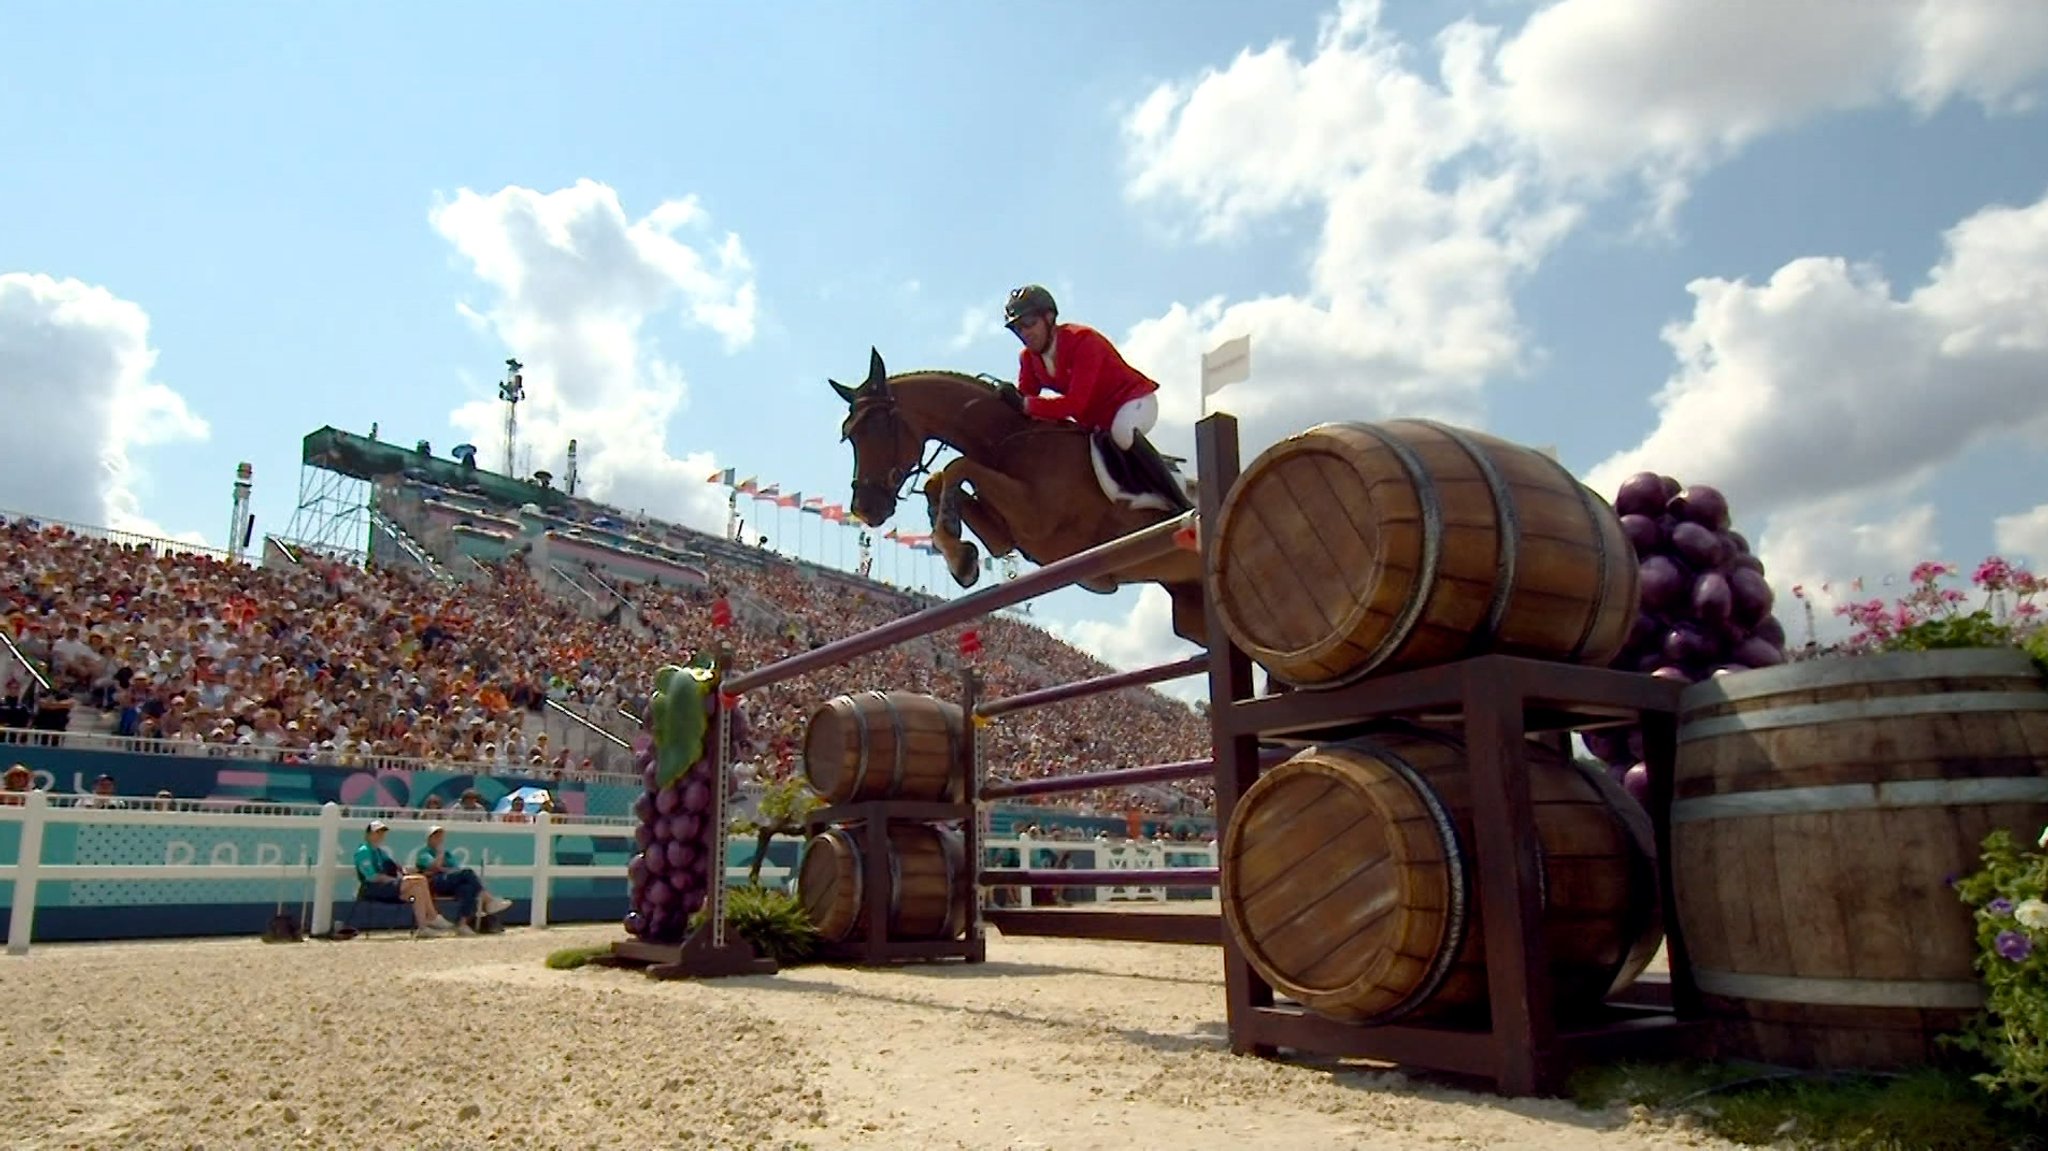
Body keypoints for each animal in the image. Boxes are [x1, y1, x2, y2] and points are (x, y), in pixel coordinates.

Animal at [827, 344, 1212, 647]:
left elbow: (957, 465)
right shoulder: (1009, 534)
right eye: (848, 435)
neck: (1009, 438)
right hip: (1192, 613)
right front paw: (961, 558)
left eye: (879, 426)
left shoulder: (1038, 520)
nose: (865, 509)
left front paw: (955, 545)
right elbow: (943, 480)